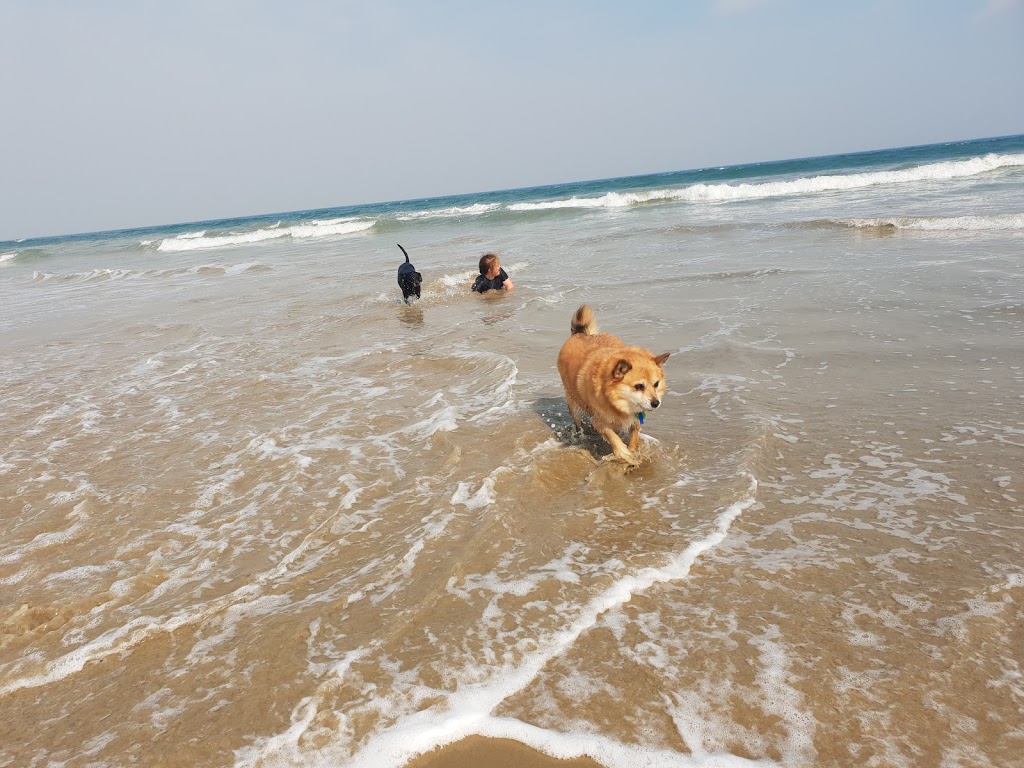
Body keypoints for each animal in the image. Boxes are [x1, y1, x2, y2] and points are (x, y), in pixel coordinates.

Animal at [557, 303, 667, 466]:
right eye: (639, 386)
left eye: (656, 384)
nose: (656, 403)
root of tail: (581, 333)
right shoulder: (600, 422)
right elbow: (614, 438)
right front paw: (624, 454)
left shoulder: (636, 420)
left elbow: (634, 437)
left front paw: (633, 451)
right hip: (574, 406)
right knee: (577, 422)